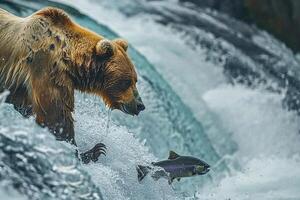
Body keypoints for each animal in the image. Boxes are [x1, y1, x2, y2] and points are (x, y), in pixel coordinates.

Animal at [0, 7, 145, 163]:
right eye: (127, 81)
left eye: (135, 80)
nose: (140, 105)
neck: (70, 62)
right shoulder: (46, 70)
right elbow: (55, 116)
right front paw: (92, 151)